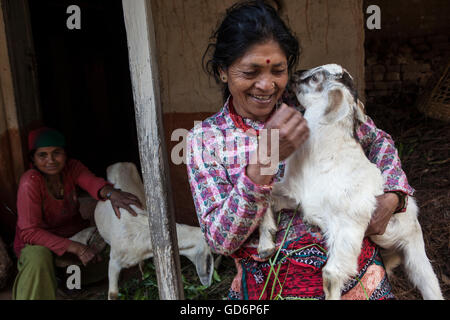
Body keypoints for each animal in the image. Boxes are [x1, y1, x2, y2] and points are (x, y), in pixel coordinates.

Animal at [258, 63, 444, 298]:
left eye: (316, 78)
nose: (294, 75)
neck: (324, 156)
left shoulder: (350, 223)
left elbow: (331, 274)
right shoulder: (295, 195)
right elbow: (266, 197)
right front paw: (265, 245)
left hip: (415, 246)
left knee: (428, 281)